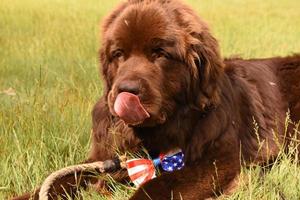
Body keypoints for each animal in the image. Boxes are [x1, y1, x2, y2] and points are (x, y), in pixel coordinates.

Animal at [12, 0, 300, 200]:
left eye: (160, 53)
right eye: (118, 54)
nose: (127, 90)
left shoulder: (220, 159)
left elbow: (158, 185)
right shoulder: (105, 158)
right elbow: (65, 177)